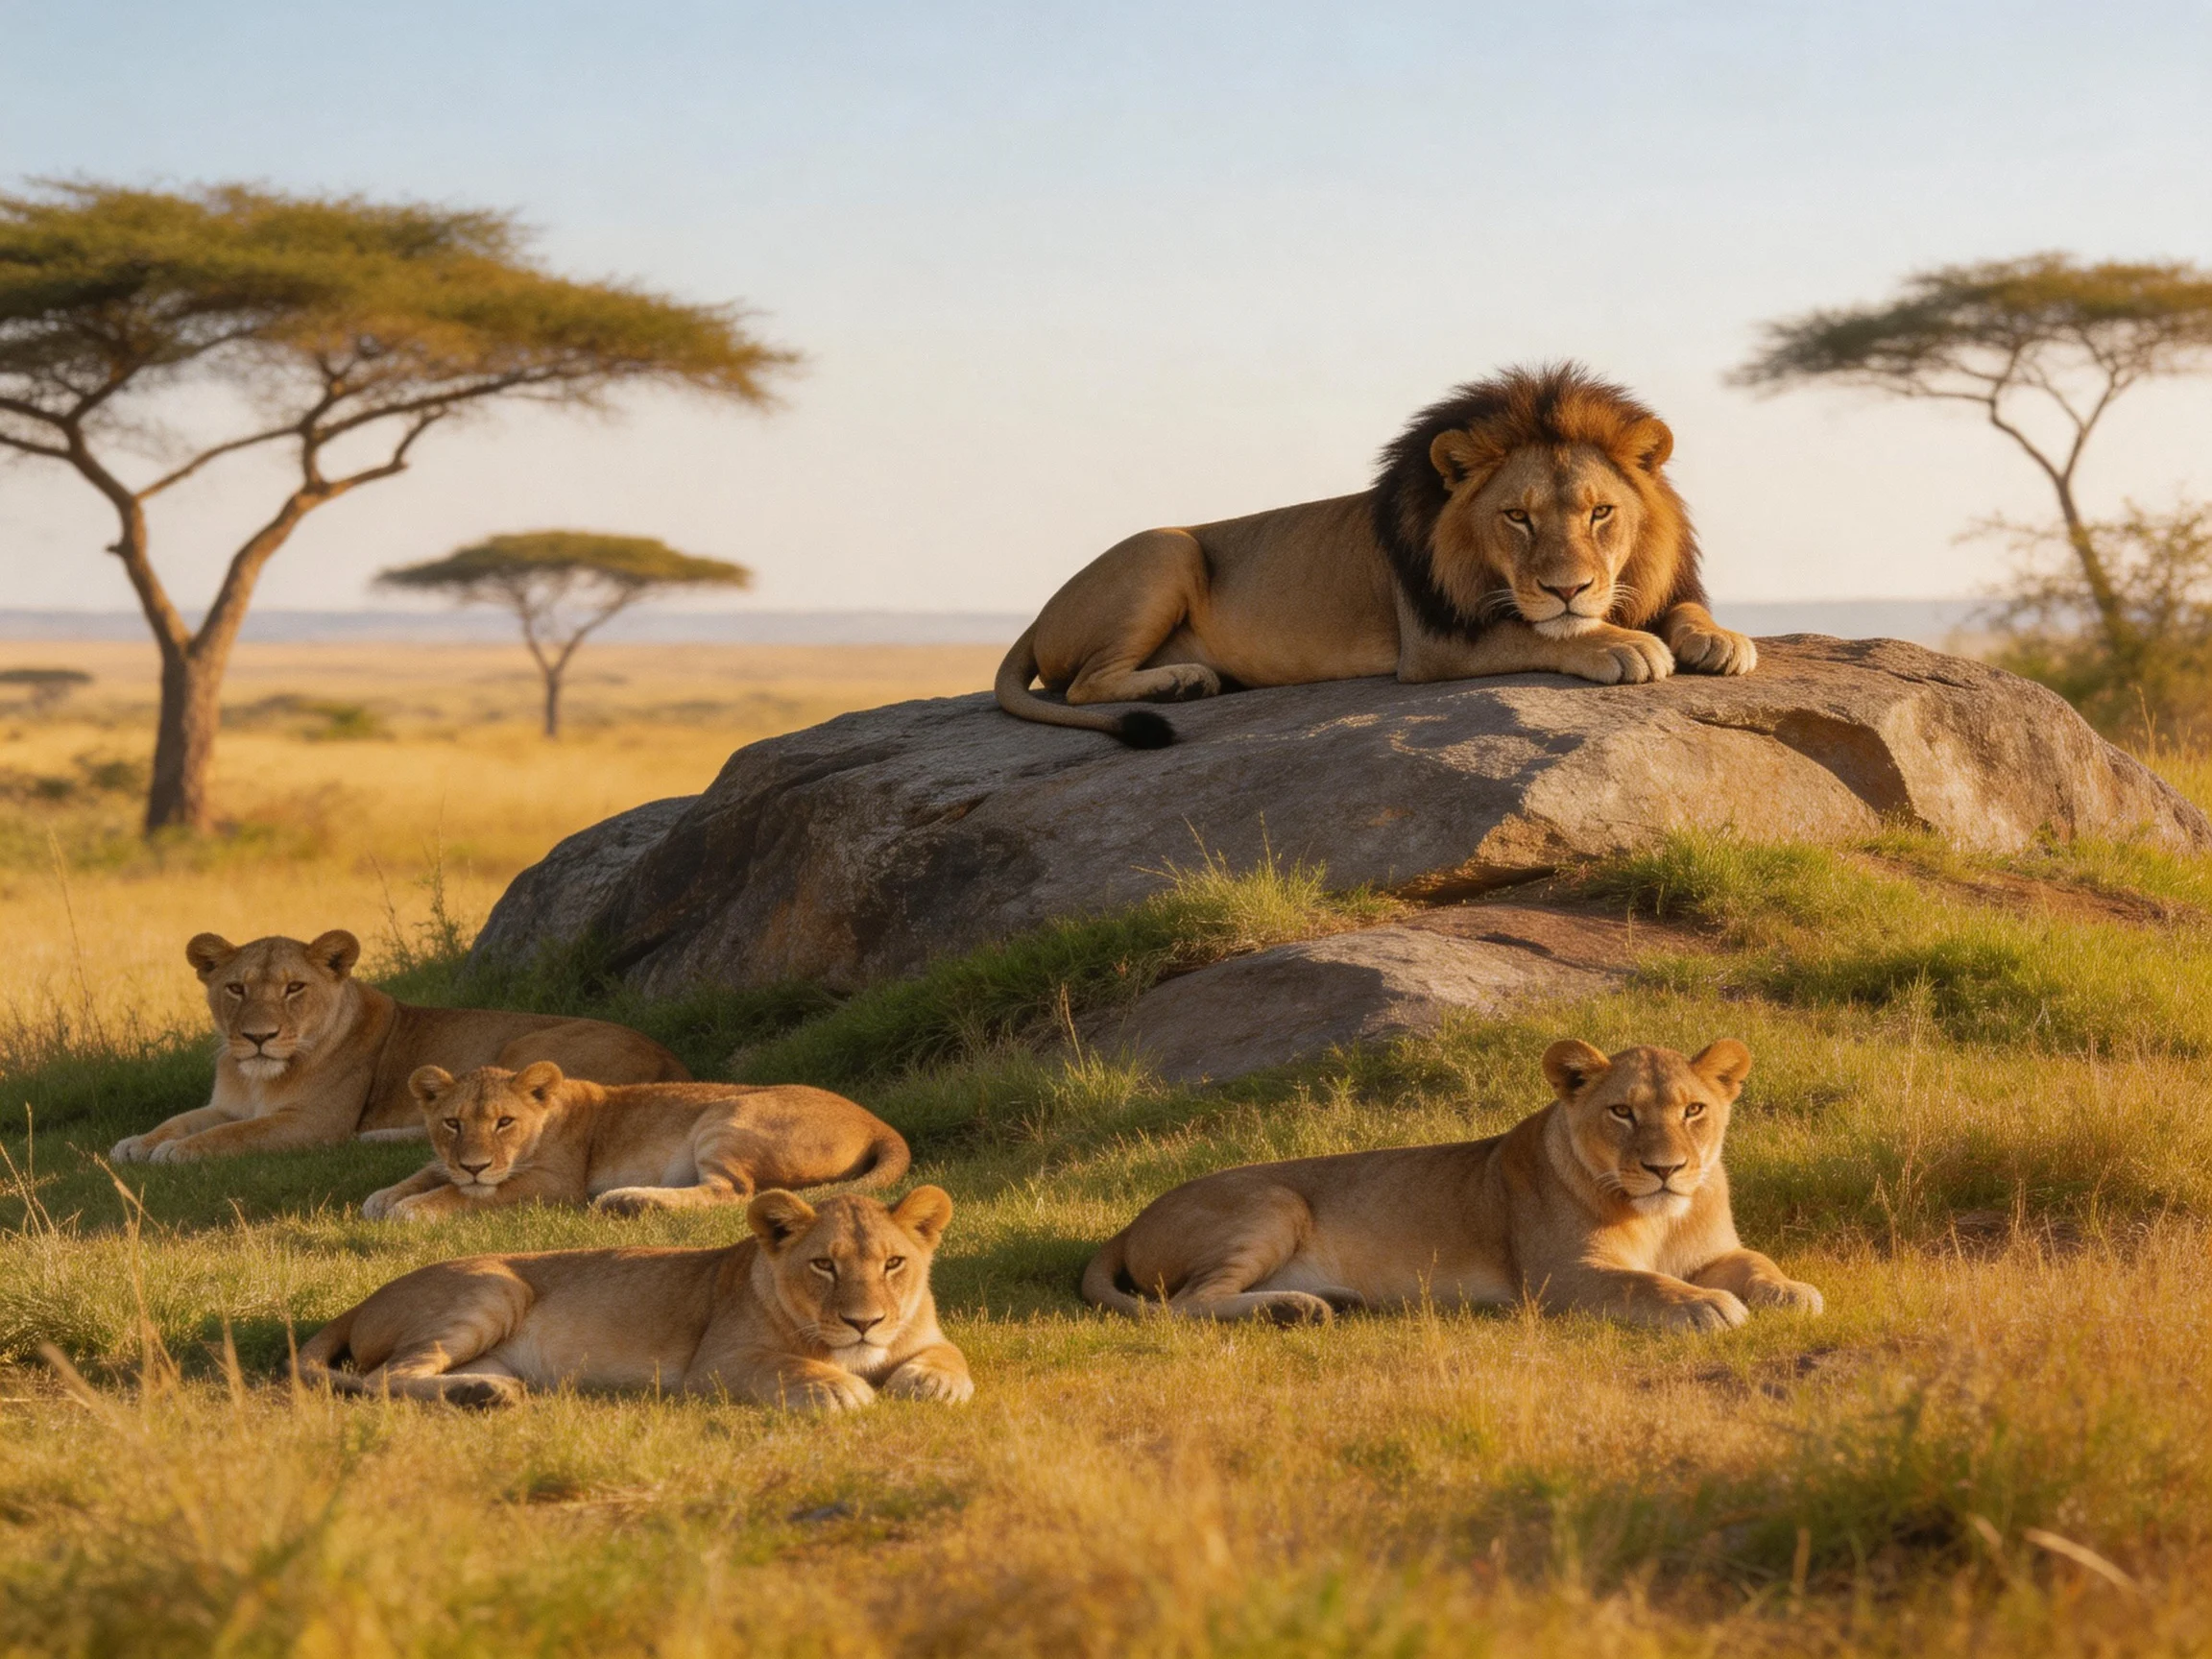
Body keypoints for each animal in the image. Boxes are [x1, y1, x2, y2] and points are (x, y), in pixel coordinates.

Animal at [110, 930, 689, 1165]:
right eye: (236, 988)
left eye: (294, 988)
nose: (258, 1037)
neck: (257, 1078)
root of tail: (671, 1058)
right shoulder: (224, 1105)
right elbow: (183, 1120)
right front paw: (137, 1142)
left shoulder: (314, 1123)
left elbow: (236, 1135)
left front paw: (176, 1152)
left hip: (525, 1043)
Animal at [295, 1186, 972, 1410]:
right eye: (823, 1265)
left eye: (893, 1264)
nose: (865, 1323)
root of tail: (363, 1300)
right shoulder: (717, 1364)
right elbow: (789, 1365)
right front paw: (839, 1389)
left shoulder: (928, 1335)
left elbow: (952, 1355)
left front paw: (933, 1383)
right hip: (495, 1286)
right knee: (382, 1377)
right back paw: (486, 1395)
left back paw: (491, 1390)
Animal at [359, 1061, 911, 1221]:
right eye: (452, 1123)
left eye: (504, 1123)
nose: (473, 1164)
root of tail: (880, 1123)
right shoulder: (448, 1160)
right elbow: (427, 1172)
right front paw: (382, 1197)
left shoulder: (555, 1185)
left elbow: (463, 1194)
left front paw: (409, 1209)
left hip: (725, 1116)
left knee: (735, 1192)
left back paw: (625, 1200)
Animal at [996, 363, 1756, 746]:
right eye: (1517, 516)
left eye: (1601, 513)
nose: (1568, 589)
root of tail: (1035, 618)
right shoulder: (1432, 643)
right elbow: (1541, 633)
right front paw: (1621, 644)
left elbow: (1682, 610)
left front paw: (1721, 639)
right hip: (1166, 548)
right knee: (1082, 685)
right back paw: (1180, 682)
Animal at [1082, 1038, 1821, 1330]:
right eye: (1622, 1112)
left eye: (1694, 1110)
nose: (1666, 1168)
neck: (1664, 1215)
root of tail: (1127, 1223)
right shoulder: (1561, 1278)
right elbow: (1646, 1283)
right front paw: (1707, 1306)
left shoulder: (1713, 1251)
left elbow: (1756, 1260)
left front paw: (1792, 1290)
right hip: (1274, 1201)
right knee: (1185, 1305)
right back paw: (1298, 1309)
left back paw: (1323, 1301)